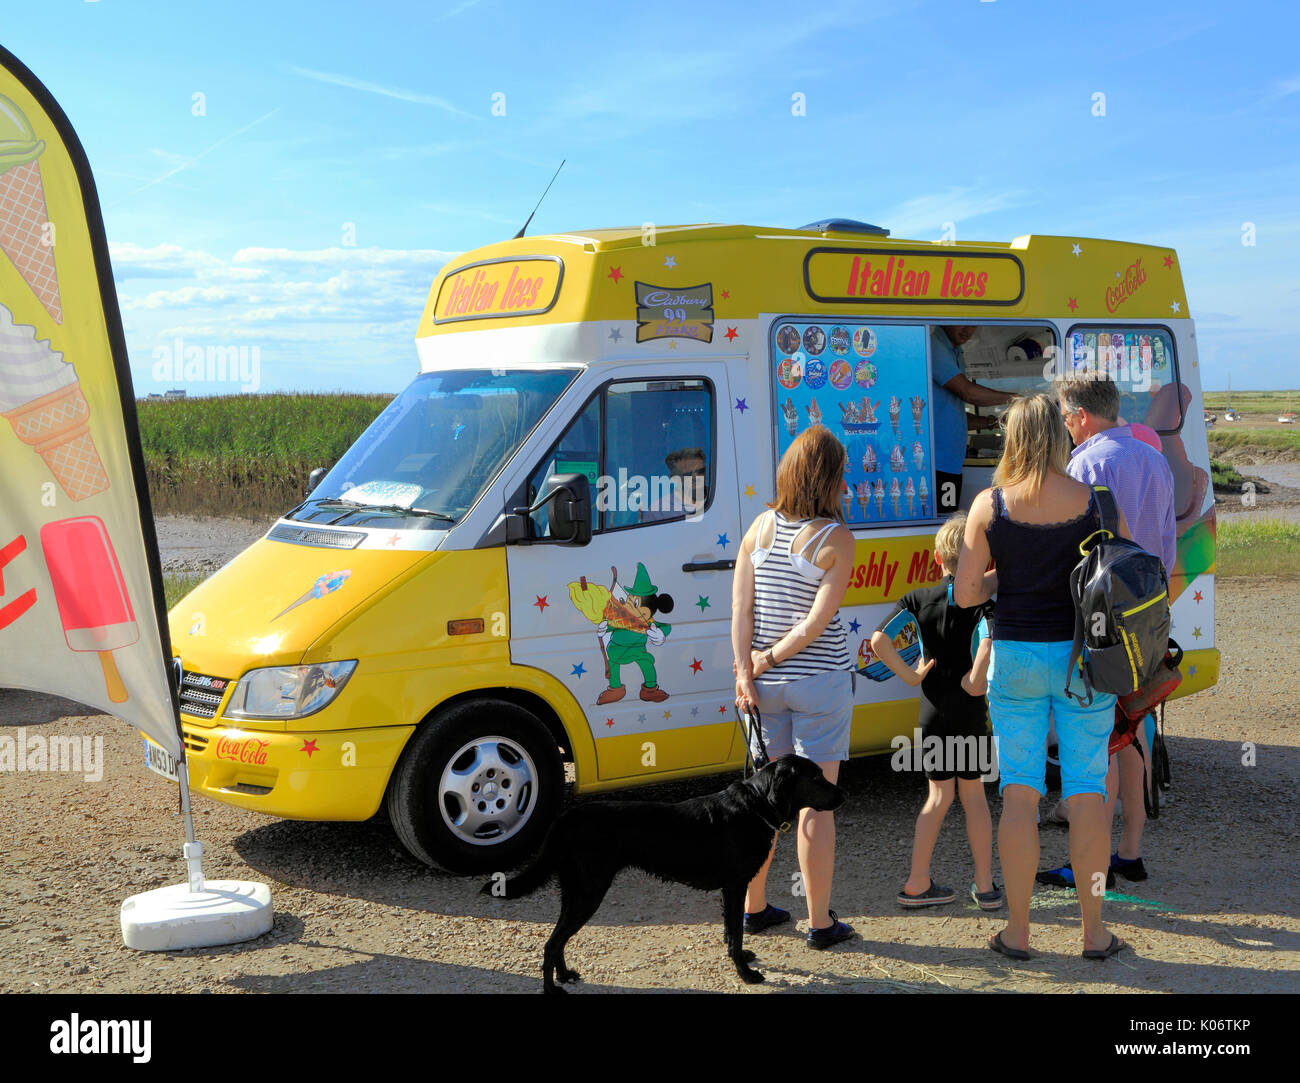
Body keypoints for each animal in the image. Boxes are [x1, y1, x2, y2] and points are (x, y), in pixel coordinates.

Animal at [486, 754, 842, 993]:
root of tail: (564, 818)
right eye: (816, 777)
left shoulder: (730, 890)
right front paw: (745, 973)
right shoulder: (735, 886)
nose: (843, 795)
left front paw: (743, 958)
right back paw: (551, 987)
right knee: (552, 942)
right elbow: (736, 933)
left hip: (575, 891)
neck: (755, 806)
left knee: (558, 939)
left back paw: (565, 975)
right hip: (589, 892)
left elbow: (732, 933)